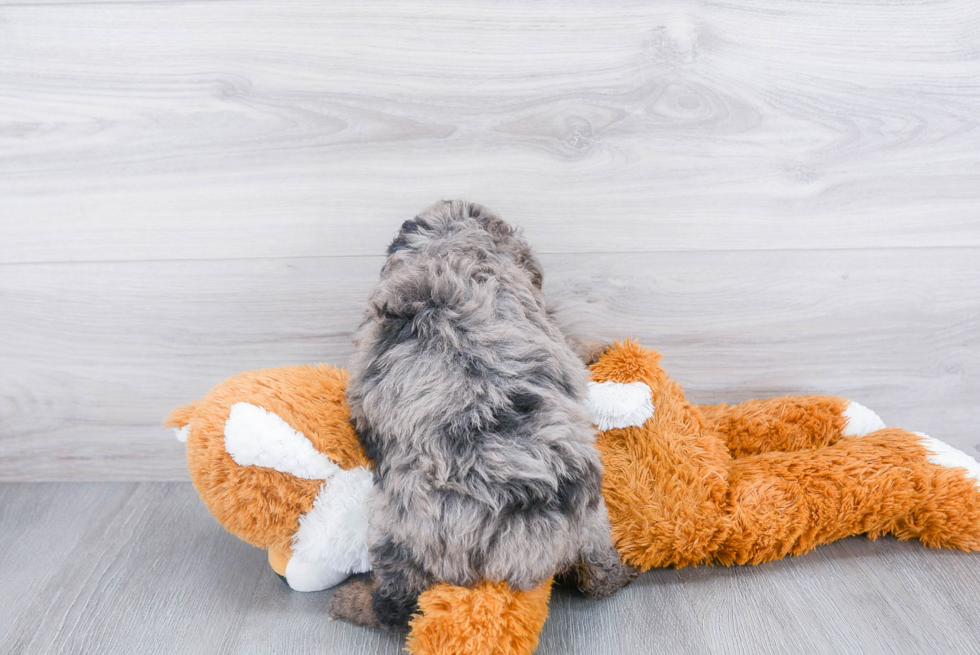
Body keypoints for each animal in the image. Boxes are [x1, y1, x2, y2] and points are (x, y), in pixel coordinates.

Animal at [330, 200, 636, 632]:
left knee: (396, 604)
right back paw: (618, 573)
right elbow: (572, 344)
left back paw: (352, 601)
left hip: (398, 529)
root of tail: (527, 518)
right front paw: (601, 348)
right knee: (599, 575)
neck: (449, 246)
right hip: (592, 519)